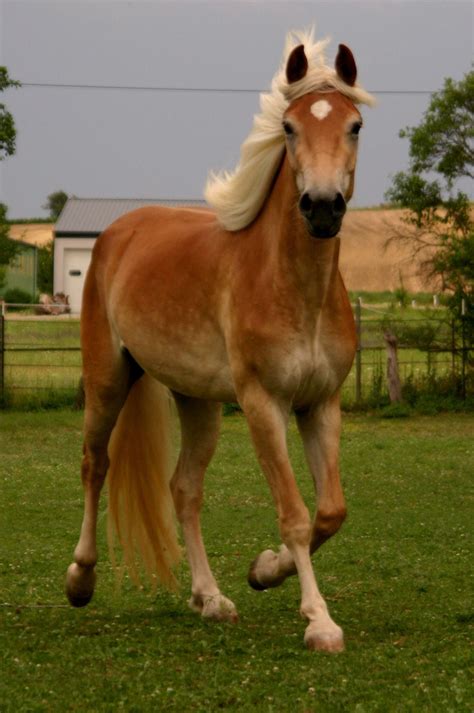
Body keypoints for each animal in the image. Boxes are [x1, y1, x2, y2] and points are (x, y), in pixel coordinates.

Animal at [66, 30, 376, 652]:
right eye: (289, 127)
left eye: (354, 125)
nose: (322, 207)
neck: (293, 289)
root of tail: (118, 232)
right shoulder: (263, 405)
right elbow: (295, 513)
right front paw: (319, 621)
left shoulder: (320, 405)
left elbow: (330, 511)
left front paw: (264, 570)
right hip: (107, 381)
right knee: (95, 463)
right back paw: (80, 579)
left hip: (198, 402)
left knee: (183, 490)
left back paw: (210, 599)